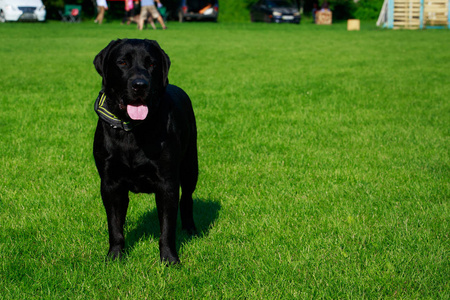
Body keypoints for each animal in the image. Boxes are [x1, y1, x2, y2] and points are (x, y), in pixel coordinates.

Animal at [92, 38, 197, 264]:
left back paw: (191, 229)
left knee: (187, 197)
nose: (140, 85)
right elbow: (114, 226)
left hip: (190, 165)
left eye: (151, 64)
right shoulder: (110, 183)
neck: (133, 131)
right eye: (122, 62)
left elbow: (167, 228)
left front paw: (169, 259)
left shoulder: (167, 183)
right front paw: (114, 256)